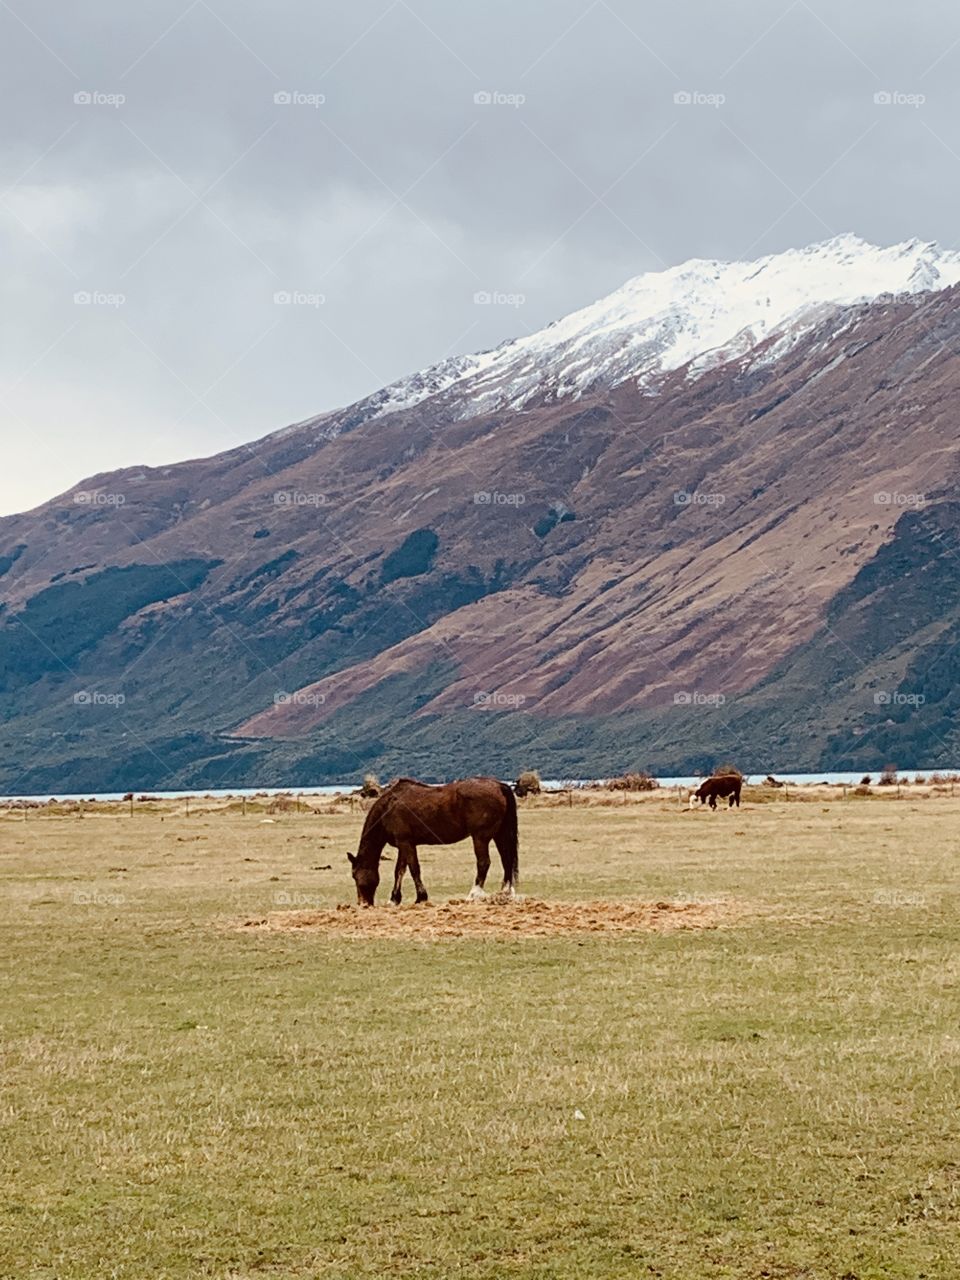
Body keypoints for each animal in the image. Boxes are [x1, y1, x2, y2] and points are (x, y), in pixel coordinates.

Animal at [350, 773, 522, 906]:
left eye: (355, 875)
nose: (363, 904)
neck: (388, 807)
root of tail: (499, 786)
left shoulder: (406, 843)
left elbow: (414, 869)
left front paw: (421, 898)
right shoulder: (404, 844)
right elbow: (400, 871)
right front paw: (394, 899)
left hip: (480, 838)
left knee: (484, 863)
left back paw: (473, 895)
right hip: (499, 835)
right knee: (506, 860)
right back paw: (505, 893)